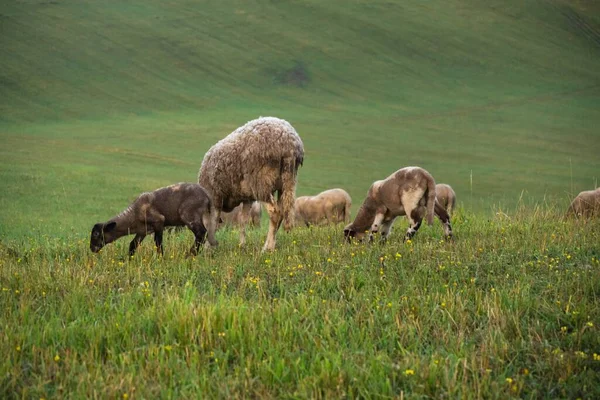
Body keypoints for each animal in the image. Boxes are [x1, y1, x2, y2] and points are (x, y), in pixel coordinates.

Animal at [199, 115, 304, 250]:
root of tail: (289, 145)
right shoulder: (246, 198)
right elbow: (243, 221)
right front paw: (241, 245)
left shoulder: (216, 196)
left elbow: (213, 222)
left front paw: (208, 248)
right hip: (288, 181)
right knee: (282, 212)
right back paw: (271, 244)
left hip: (261, 184)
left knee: (275, 213)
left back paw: (267, 248)